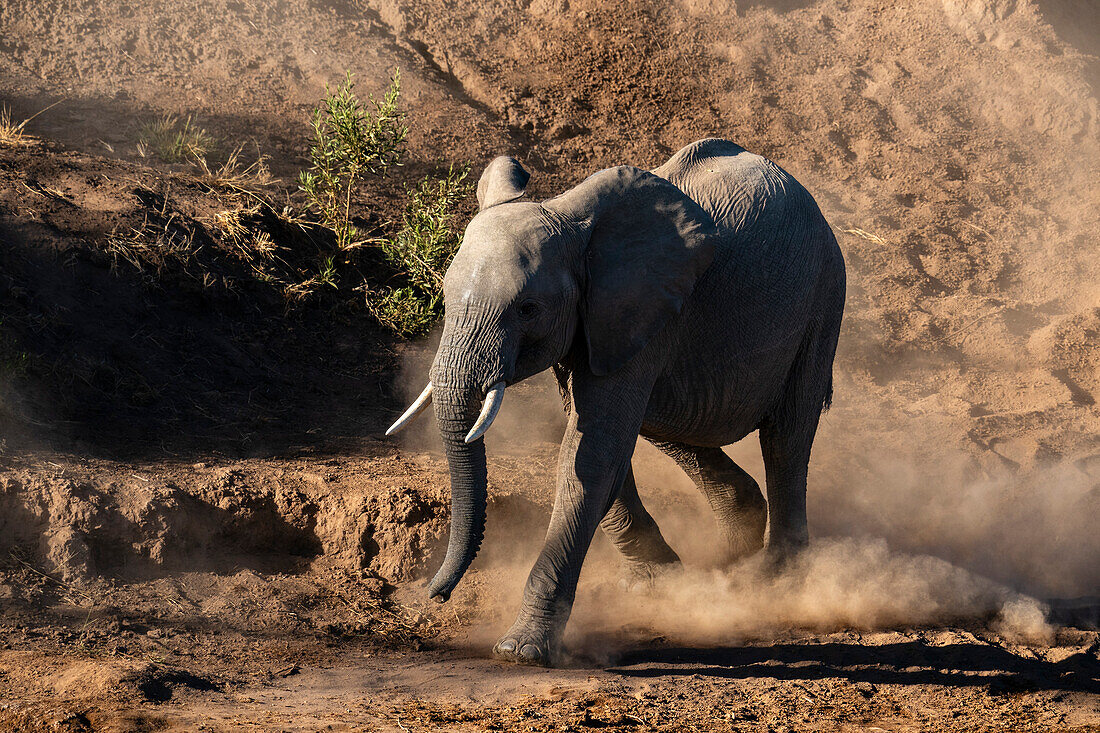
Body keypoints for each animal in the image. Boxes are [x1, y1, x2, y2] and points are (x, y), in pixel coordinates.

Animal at [391, 135, 844, 660]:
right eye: (445, 297)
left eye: (528, 309)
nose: (436, 595)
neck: (578, 231)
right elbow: (598, 445)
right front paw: (661, 585)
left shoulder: (639, 308)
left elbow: (591, 455)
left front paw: (521, 650)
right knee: (669, 426)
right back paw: (724, 571)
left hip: (823, 298)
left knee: (786, 439)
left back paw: (780, 584)